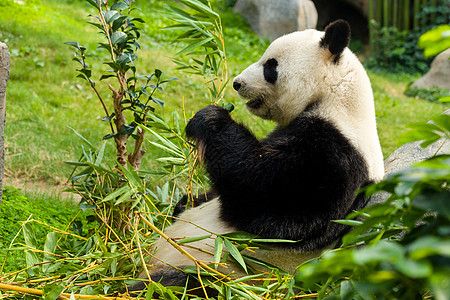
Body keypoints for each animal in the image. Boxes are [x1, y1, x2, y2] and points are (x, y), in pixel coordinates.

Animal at [130, 19, 384, 296]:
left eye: (271, 66)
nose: (237, 83)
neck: (336, 98)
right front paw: (187, 200)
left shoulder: (335, 158)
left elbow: (263, 198)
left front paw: (210, 118)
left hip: (220, 275)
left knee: (175, 285)